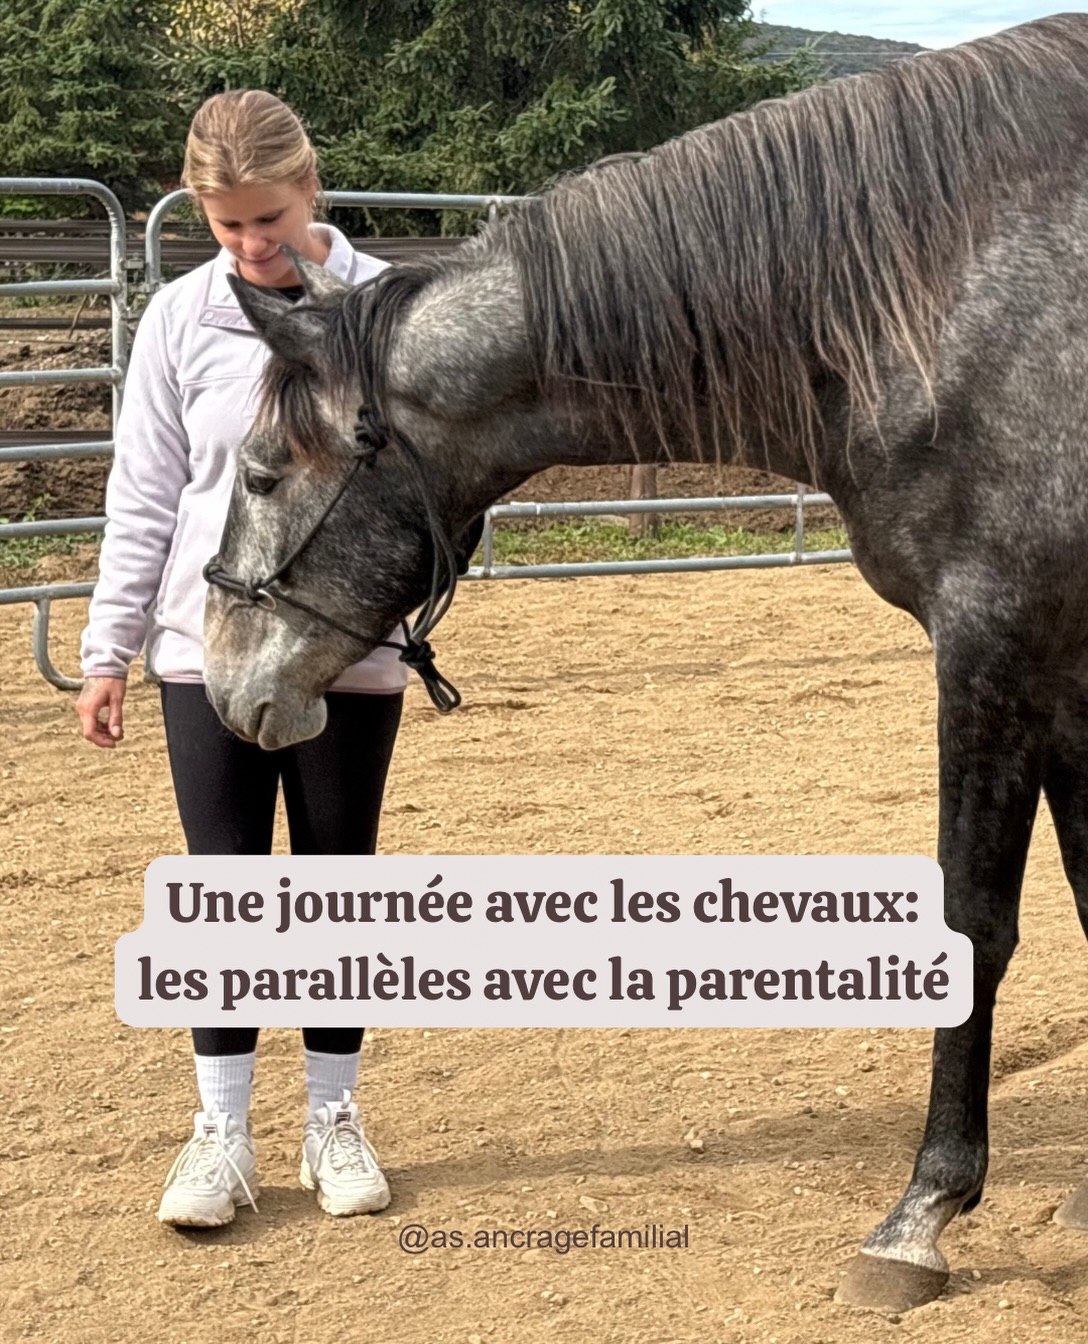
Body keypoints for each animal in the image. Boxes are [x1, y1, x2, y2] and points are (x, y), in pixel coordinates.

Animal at [200, 13, 1088, 1314]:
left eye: (262, 469)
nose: (225, 684)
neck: (953, 294)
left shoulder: (994, 640)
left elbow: (973, 922)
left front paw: (921, 1213)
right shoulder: (1057, 665)